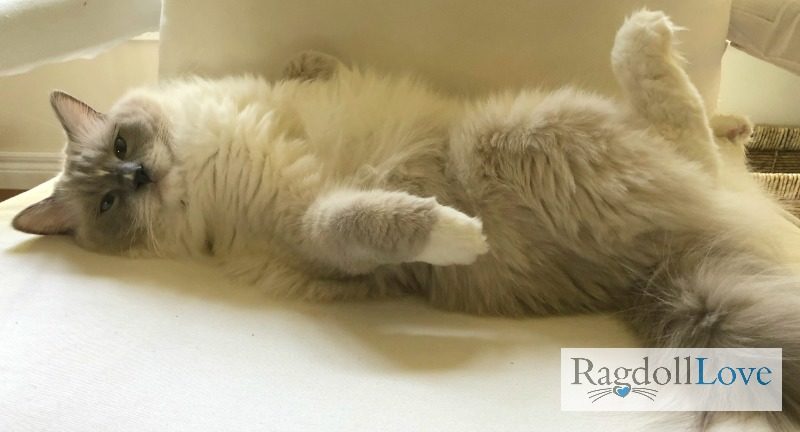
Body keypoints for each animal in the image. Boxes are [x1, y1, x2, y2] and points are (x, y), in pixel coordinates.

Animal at [9, 10, 800, 428]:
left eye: (121, 147)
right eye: (107, 203)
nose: (137, 176)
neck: (203, 157)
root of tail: (660, 274)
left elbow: (305, 72)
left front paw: (312, 60)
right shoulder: (307, 230)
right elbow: (364, 220)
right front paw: (458, 234)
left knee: (705, 145)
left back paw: (713, 100)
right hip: (514, 134)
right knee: (691, 152)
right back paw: (646, 42)